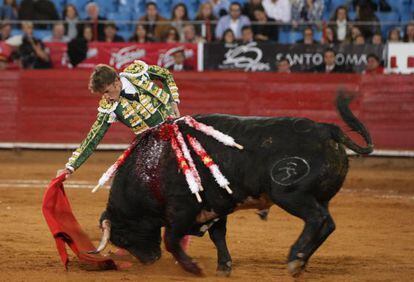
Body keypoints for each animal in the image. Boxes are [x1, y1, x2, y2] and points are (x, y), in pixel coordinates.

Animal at [97, 91, 372, 276]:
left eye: (124, 237)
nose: (150, 260)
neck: (151, 168)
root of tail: (328, 129)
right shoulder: (216, 206)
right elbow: (218, 236)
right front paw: (224, 266)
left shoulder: (182, 208)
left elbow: (172, 239)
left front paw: (194, 268)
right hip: (320, 197)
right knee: (328, 223)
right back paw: (301, 263)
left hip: (291, 195)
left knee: (316, 219)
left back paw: (295, 257)